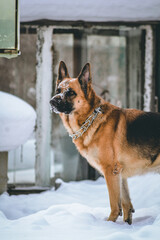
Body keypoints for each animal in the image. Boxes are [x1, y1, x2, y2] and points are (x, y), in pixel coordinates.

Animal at [49, 61, 160, 224]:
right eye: (58, 90)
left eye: (70, 92)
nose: (51, 101)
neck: (90, 118)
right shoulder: (120, 174)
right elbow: (126, 205)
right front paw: (125, 225)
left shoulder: (110, 171)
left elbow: (115, 205)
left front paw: (108, 224)